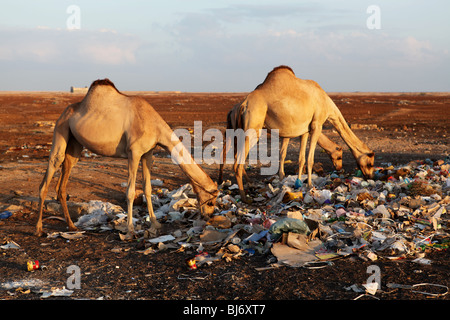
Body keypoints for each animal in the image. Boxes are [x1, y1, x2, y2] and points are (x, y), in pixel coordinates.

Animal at [35, 79, 218, 236]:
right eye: (211, 201)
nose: (208, 216)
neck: (155, 127)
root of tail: (64, 112)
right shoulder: (134, 153)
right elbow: (130, 191)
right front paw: (130, 229)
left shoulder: (148, 153)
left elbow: (147, 188)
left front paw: (155, 223)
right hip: (61, 129)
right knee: (49, 174)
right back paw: (39, 229)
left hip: (74, 144)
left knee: (63, 182)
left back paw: (72, 226)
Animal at [230, 66, 374, 201]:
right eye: (370, 163)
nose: (369, 176)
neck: (326, 103)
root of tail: (243, 104)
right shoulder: (317, 125)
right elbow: (310, 159)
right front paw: (310, 185)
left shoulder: (305, 130)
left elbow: (301, 159)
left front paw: (298, 183)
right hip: (253, 127)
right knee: (238, 163)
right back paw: (244, 198)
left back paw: (249, 186)